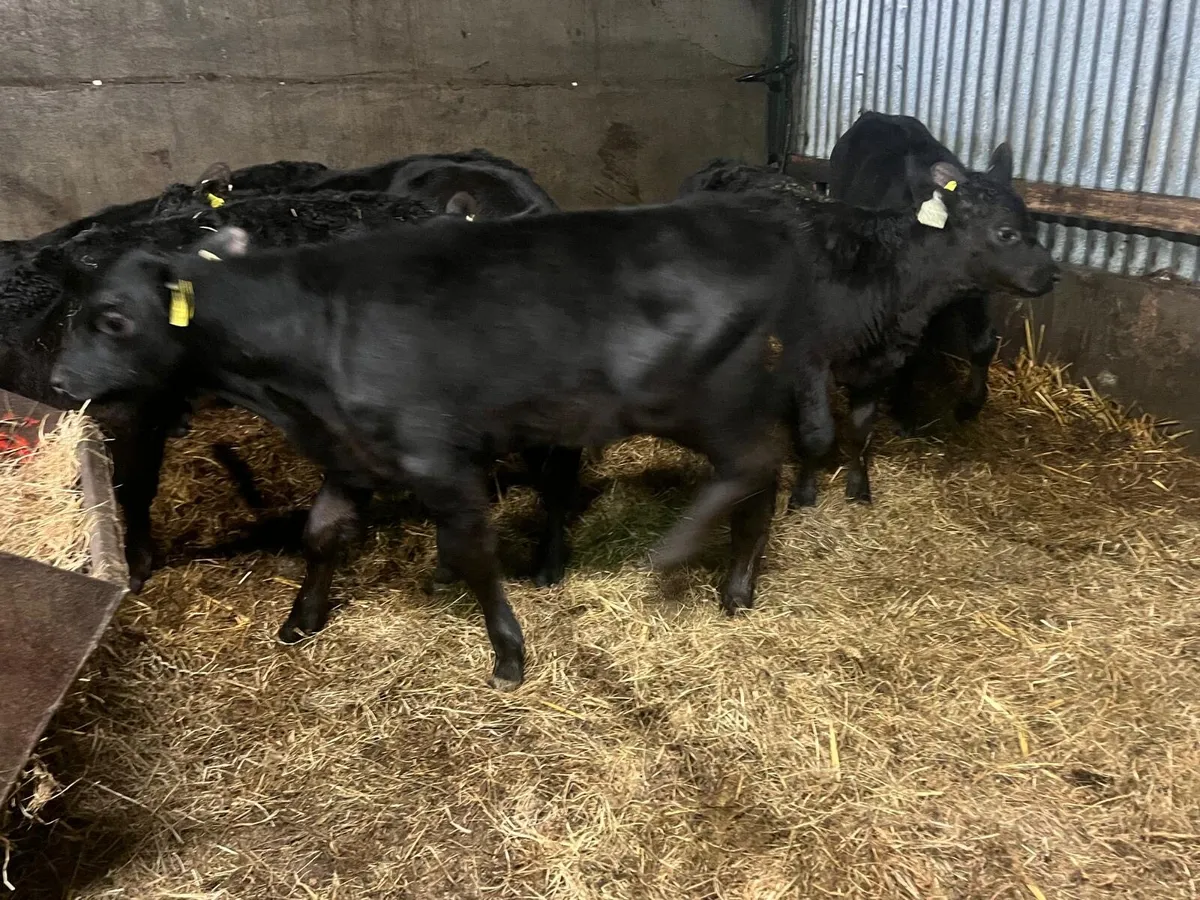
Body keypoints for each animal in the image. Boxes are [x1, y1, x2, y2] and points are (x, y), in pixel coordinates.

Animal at [49, 195, 797, 687]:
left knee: (755, 462)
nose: (58, 380)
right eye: (74, 311)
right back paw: (736, 584)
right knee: (760, 474)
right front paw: (302, 618)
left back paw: (679, 554)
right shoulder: (350, 454)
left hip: (689, 396)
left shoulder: (440, 463)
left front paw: (508, 654)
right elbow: (322, 533)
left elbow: (473, 552)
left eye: (112, 318)